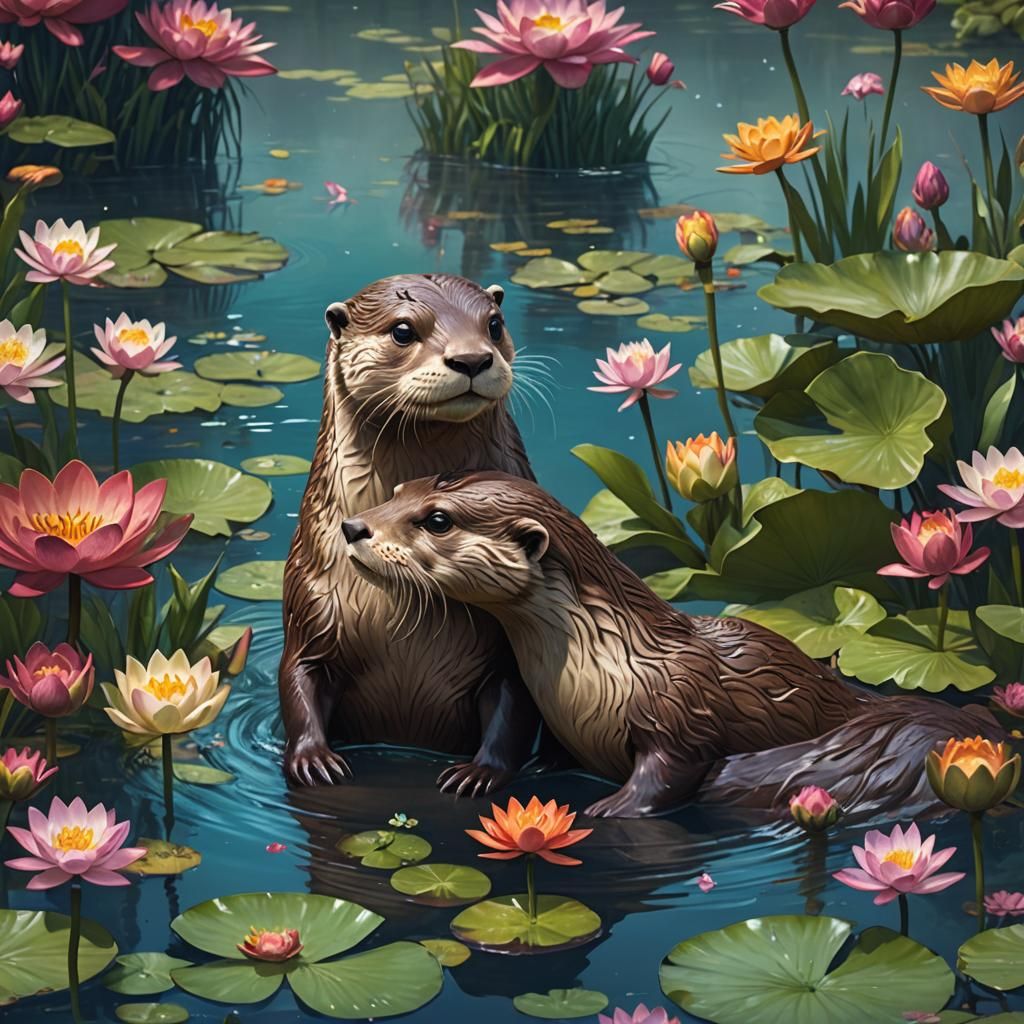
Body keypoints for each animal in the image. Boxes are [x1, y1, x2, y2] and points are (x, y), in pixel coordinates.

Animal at [280, 275, 546, 793]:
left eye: (494, 323)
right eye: (402, 330)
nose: (472, 359)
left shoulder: (508, 650)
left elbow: (514, 702)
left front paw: (480, 773)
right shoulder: (309, 610)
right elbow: (297, 681)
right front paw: (313, 759)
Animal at [343, 471, 1005, 818]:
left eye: (437, 519)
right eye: (399, 489)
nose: (354, 526)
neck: (597, 663)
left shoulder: (680, 712)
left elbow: (666, 774)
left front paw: (609, 808)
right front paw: (519, 768)